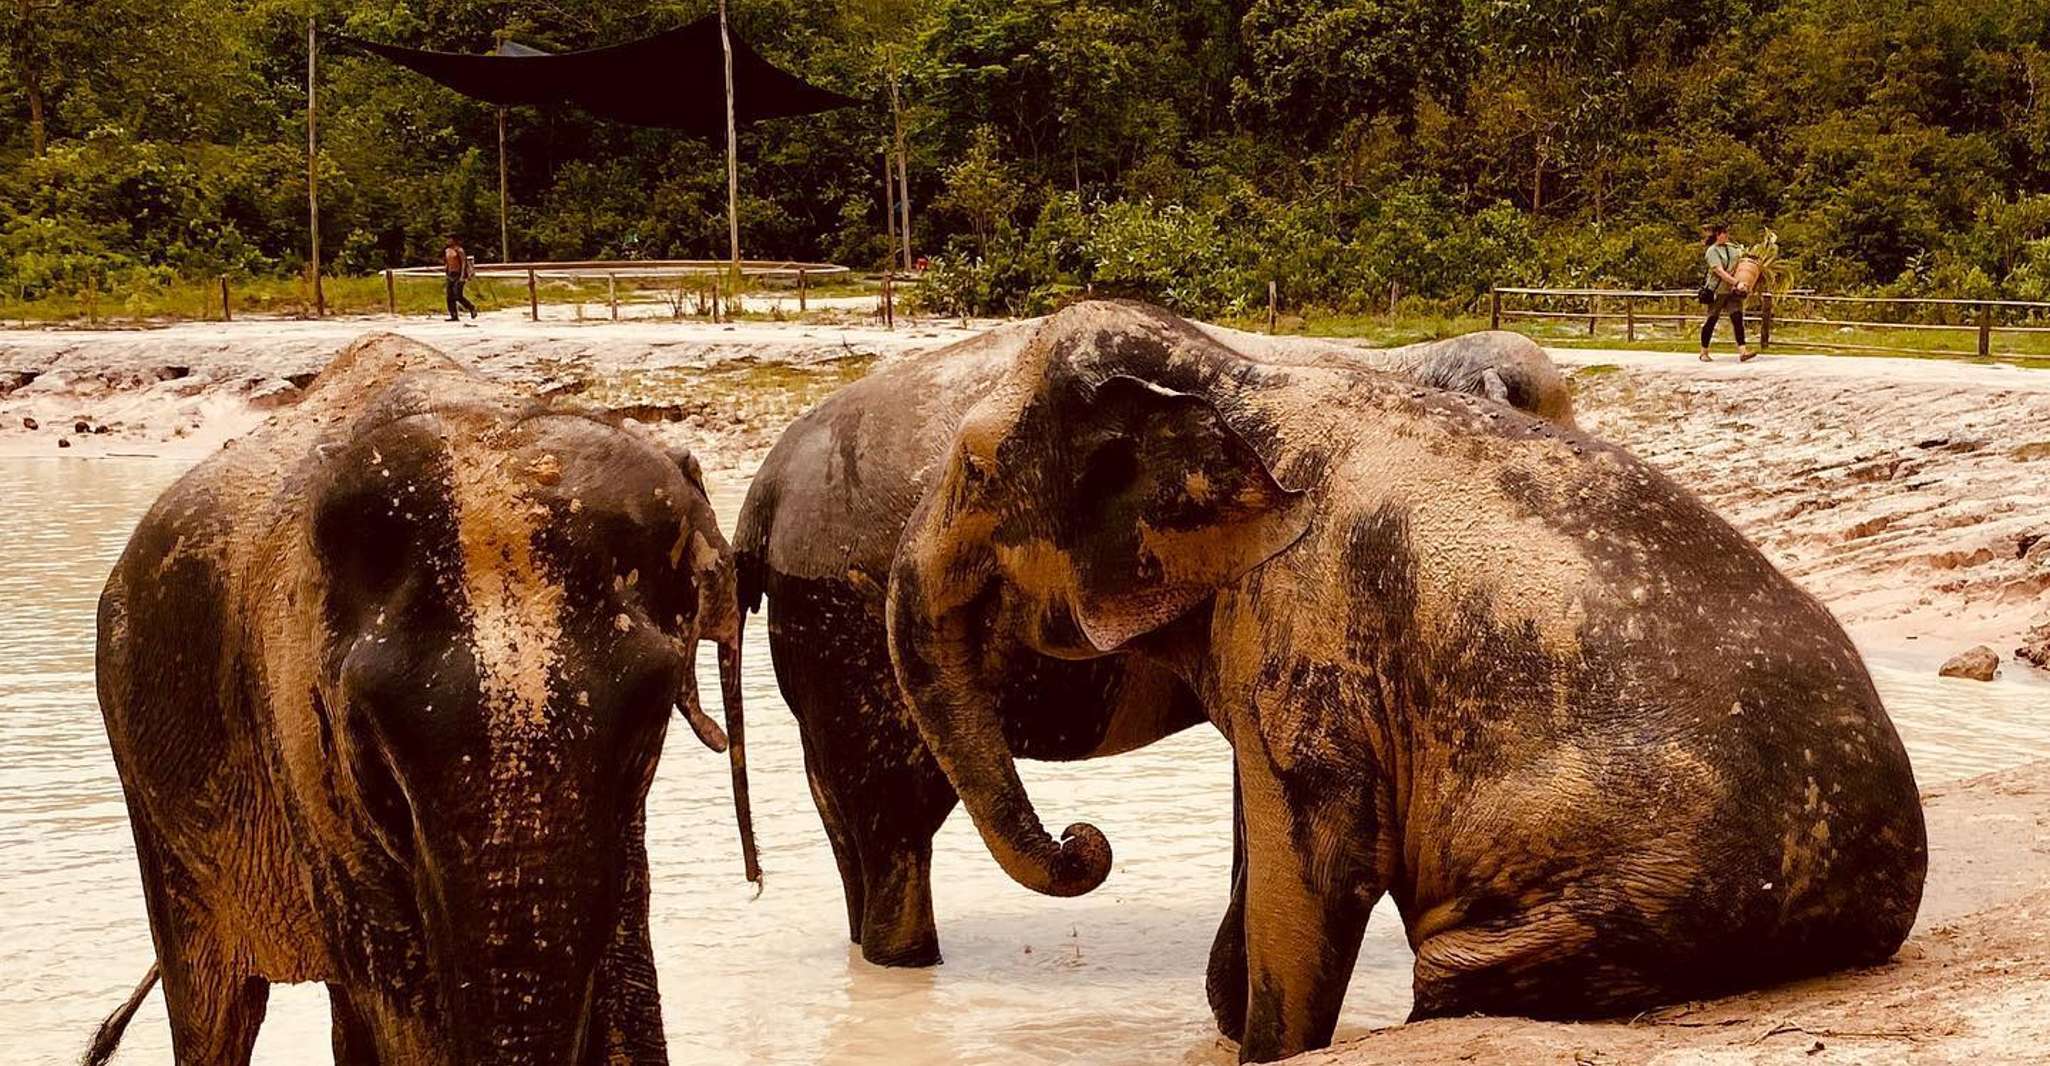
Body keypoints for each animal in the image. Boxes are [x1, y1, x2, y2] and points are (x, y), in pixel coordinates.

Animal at [87, 334, 756, 1066]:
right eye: (371, 734)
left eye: (649, 713)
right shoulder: (299, 740)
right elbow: (408, 1013)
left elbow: (627, 979)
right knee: (216, 1012)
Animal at [731, 308, 1575, 975]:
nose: (1082, 840)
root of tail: (761, 492)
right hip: (846, 627)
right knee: (897, 821)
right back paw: (906, 962)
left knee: (845, 817)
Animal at [882, 301, 1927, 1062]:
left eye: (973, 468)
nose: (1084, 841)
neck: (1236, 375)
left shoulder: (1310, 601)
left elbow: (1320, 848)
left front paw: (1269, 1046)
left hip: (1652, 881)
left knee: (1457, 971)